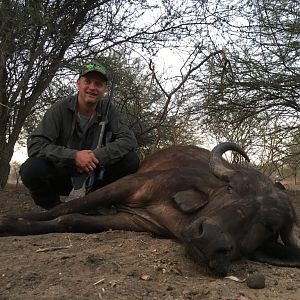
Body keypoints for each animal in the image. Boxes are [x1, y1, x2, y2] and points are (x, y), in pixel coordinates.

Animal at [0, 142, 300, 276]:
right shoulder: (129, 184)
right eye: (230, 189)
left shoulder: (137, 221)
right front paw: (11, 221)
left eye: (269, 226)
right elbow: (71, 206)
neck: (180, 216)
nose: (210, 239)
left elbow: (71, 220)